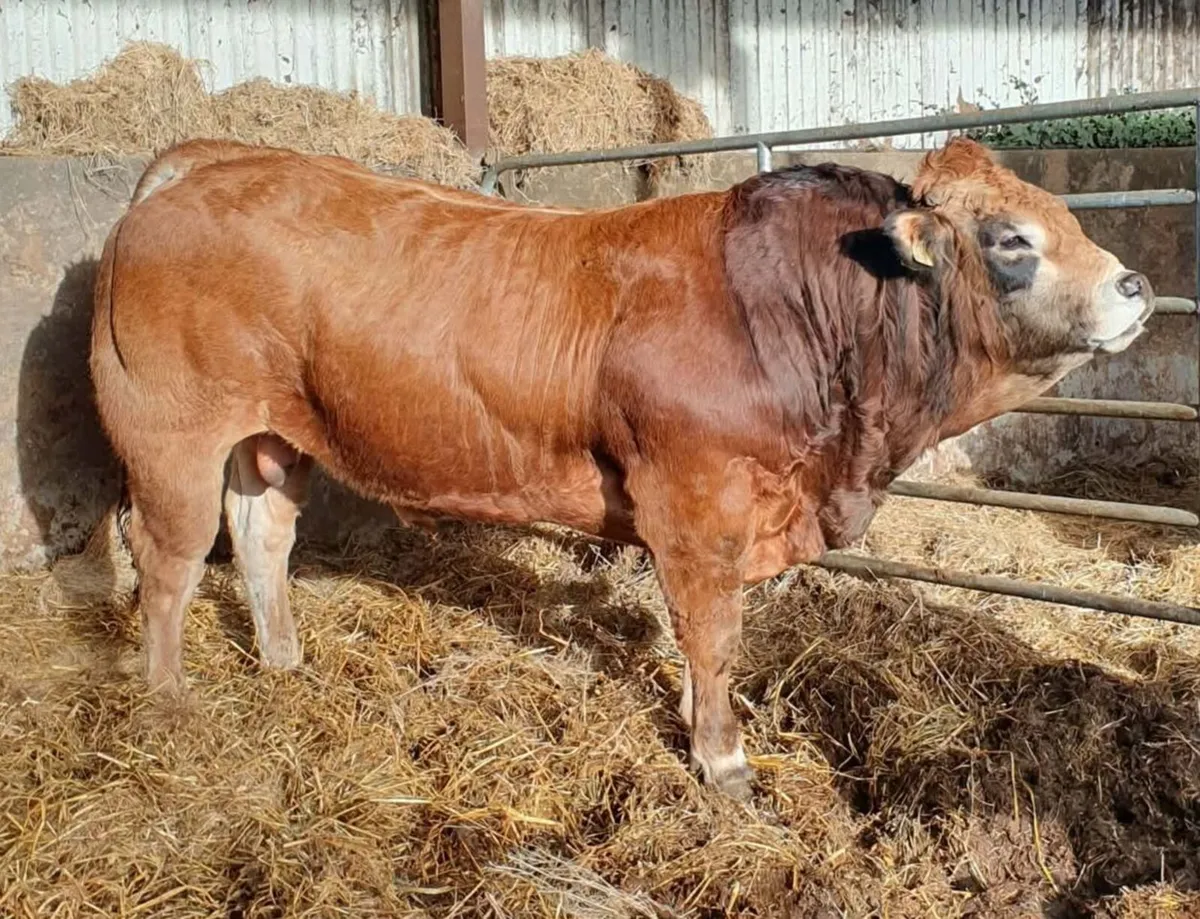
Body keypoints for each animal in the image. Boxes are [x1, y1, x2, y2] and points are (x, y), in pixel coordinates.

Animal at [89, 136, 1153, 799]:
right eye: (1012, 239)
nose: (1138, 284)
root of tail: (203, 163)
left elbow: (703, 638)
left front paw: (696, 724)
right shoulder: (696, 505)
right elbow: (714, 634)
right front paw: (723, 761)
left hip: (273, 438)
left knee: (260, 534)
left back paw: (282, 659)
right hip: (171, 436)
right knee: (168, 561)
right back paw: (171, 700)